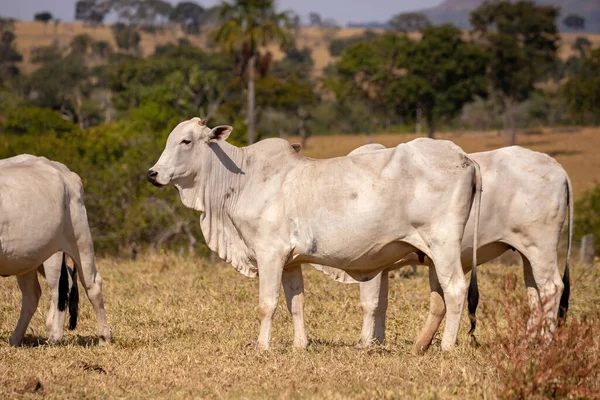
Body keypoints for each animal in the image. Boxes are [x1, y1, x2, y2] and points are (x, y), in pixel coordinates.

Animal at [0, 155, 110, 346]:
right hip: (27, 257)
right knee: (33, 295)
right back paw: (16, 339)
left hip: (77, 243)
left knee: (85, 285)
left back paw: (99, 337)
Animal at [148, 118, 480, 350]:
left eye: (186, 141)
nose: (153, 173)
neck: (243, 178)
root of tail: (465, 158)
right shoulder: (291, 262)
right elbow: (296, 303)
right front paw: (300, 345)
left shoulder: (270, 254)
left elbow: (267, 304)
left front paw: (262, 347)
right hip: (434, 254)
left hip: (444, 245)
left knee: (455, 289)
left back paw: (447, 346)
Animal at [314, 145, 572, 354]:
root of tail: (557, 168)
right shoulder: (383, 267)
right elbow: (382, 305)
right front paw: (377, 341)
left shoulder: (370, 264)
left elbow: (370, 304)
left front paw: (364, 342)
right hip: (527, 253)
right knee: (535, 294)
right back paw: (527, 343)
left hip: (541, 248)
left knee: (552, 288)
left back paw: (544, 343)